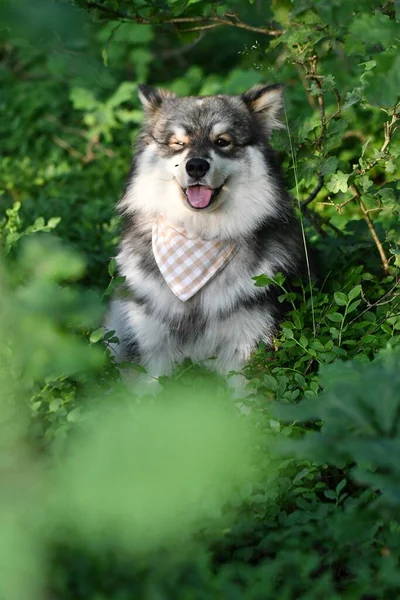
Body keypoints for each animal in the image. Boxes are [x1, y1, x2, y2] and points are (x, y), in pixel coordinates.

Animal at [106, 82, 306, 386]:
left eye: (222, 141)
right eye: (178, 143)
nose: (196, 166)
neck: (198, 238)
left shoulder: (247, 350)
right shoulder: (150, 351)